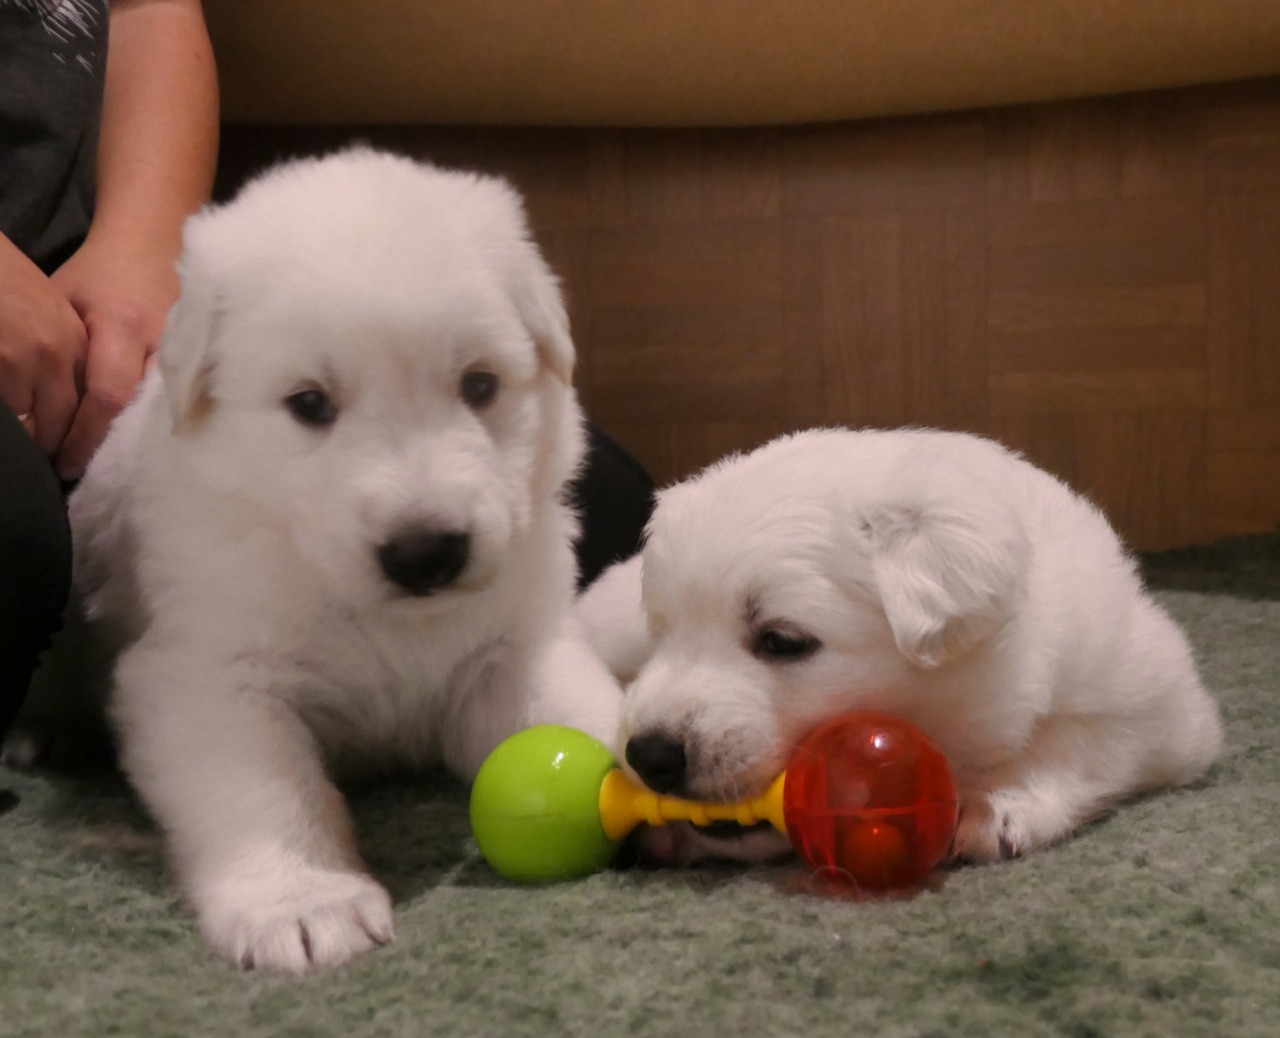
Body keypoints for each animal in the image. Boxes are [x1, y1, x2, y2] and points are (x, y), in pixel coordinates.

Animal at [50, 148, 624, 972]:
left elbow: (582, 711)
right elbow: (264, 789)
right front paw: (304, 902)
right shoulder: (204, 676)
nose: (427, 553)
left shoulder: (514, 649)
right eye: (310, 404)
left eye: (480, 384)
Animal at [577, 427, 1223, 868]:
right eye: (661, 633)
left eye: (783, 641)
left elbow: (1082, 740)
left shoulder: (1161, 700)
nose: (649, 756)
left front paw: (998, 803)